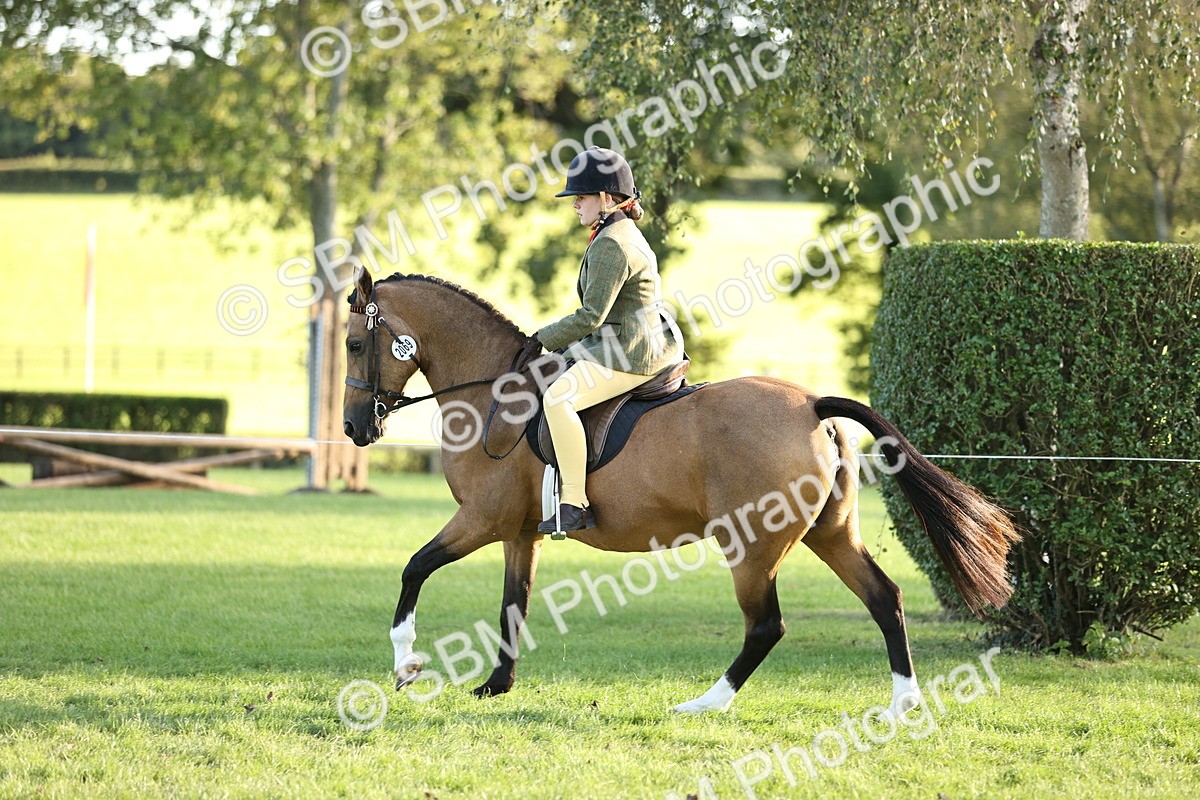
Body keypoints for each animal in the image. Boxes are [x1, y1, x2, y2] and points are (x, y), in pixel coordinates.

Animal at [341, 266, 1020, 716]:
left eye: (352, 342)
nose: (354, 428)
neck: (492, 392)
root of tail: (811, 403)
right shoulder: (517, 532)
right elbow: (515, 603)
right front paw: (495, 685)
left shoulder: (481, 519)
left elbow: (413, 569)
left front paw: (406, 665)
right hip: (830, 534)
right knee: (885, 598)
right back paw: (903, 704)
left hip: (752, 547)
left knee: (765, 626)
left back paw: (705, 703)